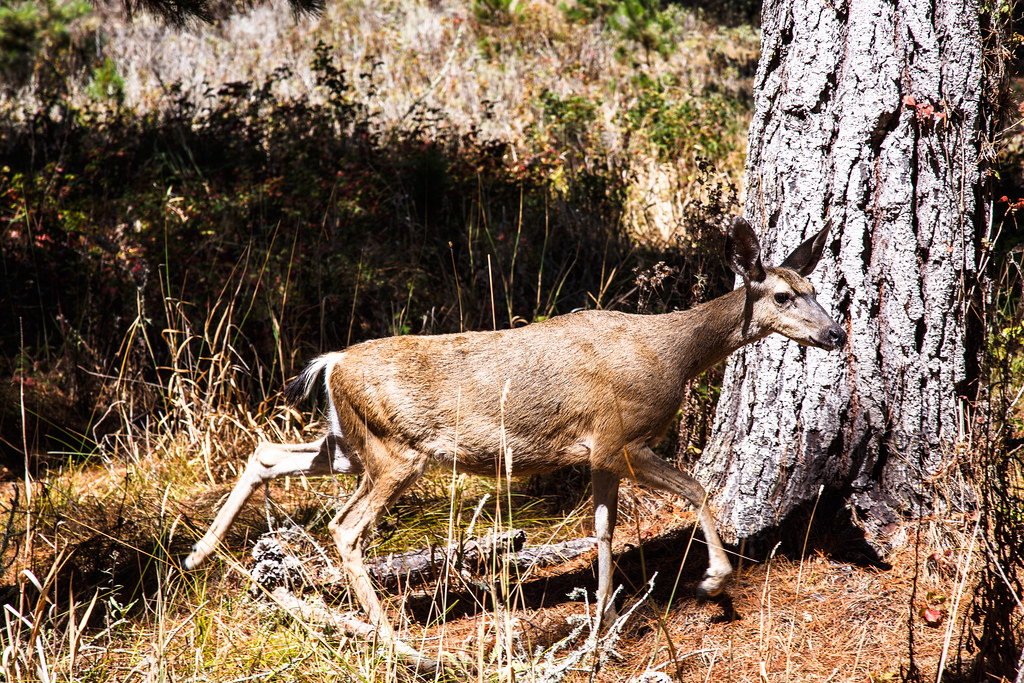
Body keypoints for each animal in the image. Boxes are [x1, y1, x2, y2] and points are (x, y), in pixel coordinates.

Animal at [183, 217, 846, 669]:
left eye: (816, 287)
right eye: (783, 296)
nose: (837, 333)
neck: (672, 356)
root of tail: (332, 361)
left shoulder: (597, 455)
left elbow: (603, 531)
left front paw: (604, 625)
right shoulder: (620, 438)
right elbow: (698, 487)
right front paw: (713, 582)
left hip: (351, 442)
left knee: (269, 454)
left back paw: (198, 554)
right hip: (397, 451)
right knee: (345, 527)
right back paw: (403, 647)